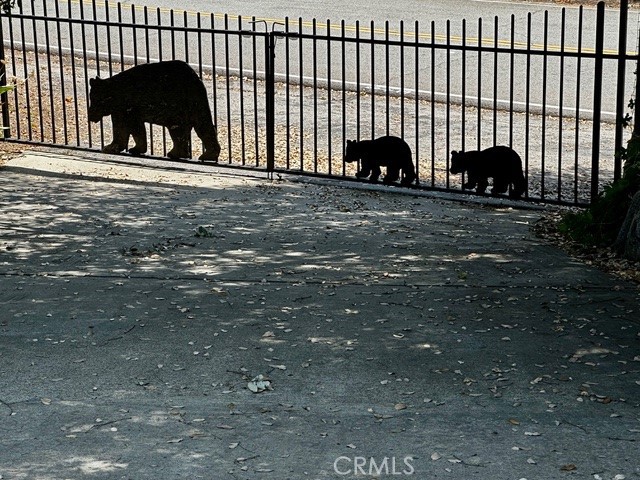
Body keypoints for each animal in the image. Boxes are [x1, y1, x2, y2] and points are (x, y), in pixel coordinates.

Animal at [89, 59, 221, 161]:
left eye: (93, 100)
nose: (90, 116)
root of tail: (195, 80)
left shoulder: (127, 107)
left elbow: (127, 128)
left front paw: (112, 147)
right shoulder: (125, 109)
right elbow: (132, 128)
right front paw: (132, 148)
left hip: (176, 106)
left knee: (178, 129)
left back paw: (175, 153)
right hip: (197, 104)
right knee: (204, 126)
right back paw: (208, 154)